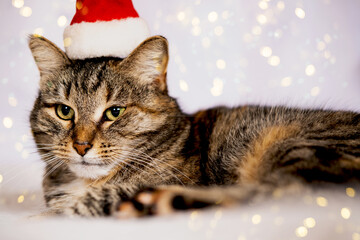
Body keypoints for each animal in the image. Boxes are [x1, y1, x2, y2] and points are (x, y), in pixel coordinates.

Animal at [28, 34, 360, 217]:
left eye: (114, 112)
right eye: (64, 111)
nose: (81, 145)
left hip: (293, 144)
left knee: (279, 193)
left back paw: (159, 203)